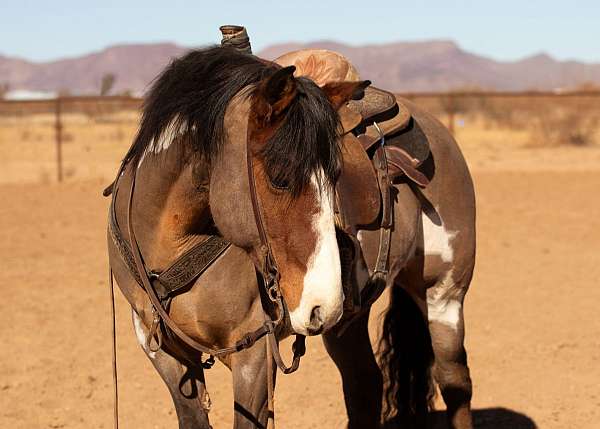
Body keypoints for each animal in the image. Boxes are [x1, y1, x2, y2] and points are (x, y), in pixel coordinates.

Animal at [106, 35, 474, 428]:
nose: (322, 303)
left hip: (443, 294)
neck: (173, 245)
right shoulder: (164, 352)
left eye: (335, 176)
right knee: (365, 384)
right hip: (350, 320)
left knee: (455, 382)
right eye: (280, 178)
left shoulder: (254, 353)